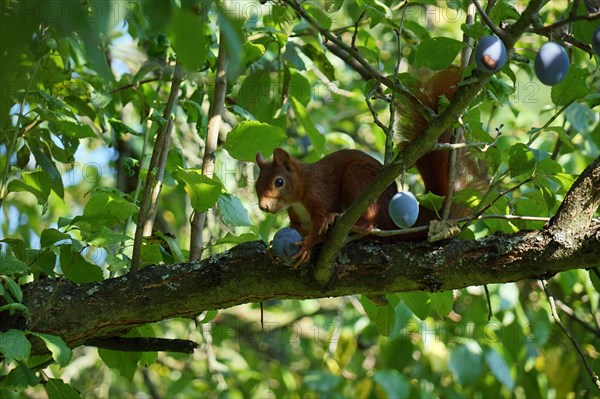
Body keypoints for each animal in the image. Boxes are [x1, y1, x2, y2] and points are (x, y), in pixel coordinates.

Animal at [253, 67, 468, 266]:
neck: (301, 190)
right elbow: (298, 229)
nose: (263, 207)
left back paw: (352, 225)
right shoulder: (298, 219)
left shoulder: (318, 193)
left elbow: (320, 222)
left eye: (279, 182)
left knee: (369, 223)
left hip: (358, 178)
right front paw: (273, 249)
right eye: (256, 184)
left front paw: (308, 244)